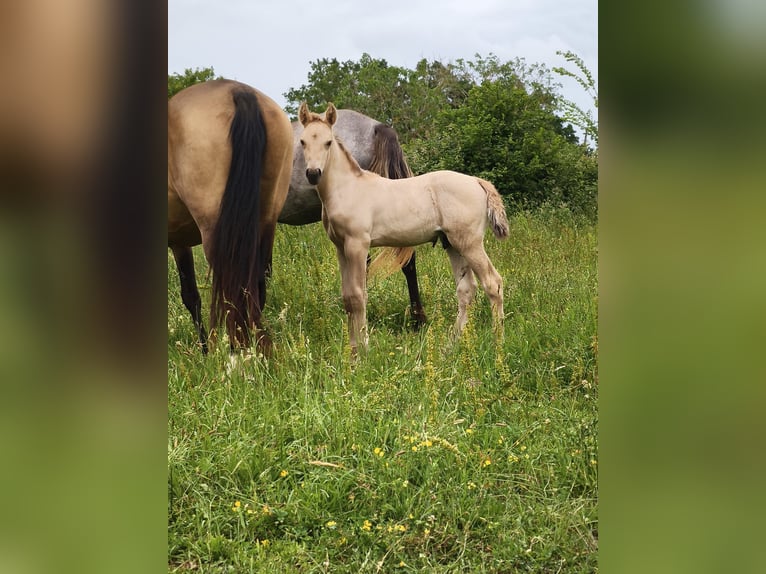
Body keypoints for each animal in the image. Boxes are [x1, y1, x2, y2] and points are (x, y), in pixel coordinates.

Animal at [298, 102, 509, 355]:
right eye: (302, 141)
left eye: (328, 142)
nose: (313, 174)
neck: (348, 187)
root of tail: (478, 181)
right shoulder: (341, 248)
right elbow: (348, 297)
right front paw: (353, 349)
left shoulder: (358, 245)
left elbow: (358, 296)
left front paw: (363, 350)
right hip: (452, 244)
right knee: (466, 290)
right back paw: (452, 344)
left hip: (470, 243)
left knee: (493, 283)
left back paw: (498, 344)